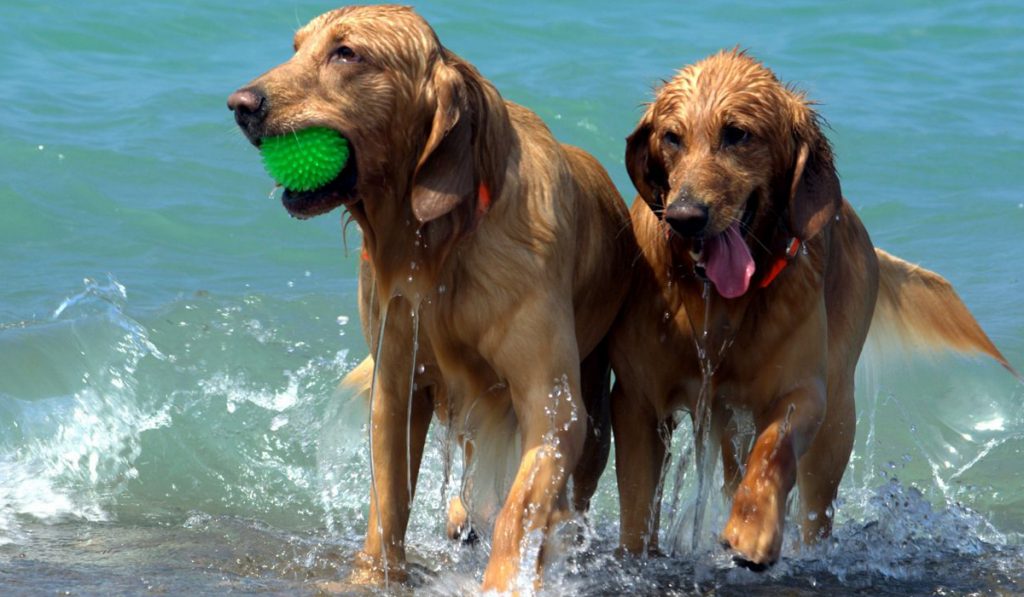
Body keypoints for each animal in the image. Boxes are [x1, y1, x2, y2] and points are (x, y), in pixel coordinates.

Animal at [228, 4, 634, 593]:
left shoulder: (551, 402)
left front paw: (504, 579)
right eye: (297, 47)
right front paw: (372, 576)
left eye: (346, 53)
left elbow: (520, 508)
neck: (438, 245)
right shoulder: (398, 382)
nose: (240, 105)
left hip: (595, 402)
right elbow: (389, 501)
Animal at [606, 50, 1015, 569]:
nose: (684, 217)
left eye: (737, 133)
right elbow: (638, 508)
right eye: (671, 137)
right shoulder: (638, 400)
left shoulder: (803, 389)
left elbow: (774, 451)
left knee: (815, 506)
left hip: (838, 418)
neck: (716, 304)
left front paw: (752, 529)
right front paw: (634, 557)